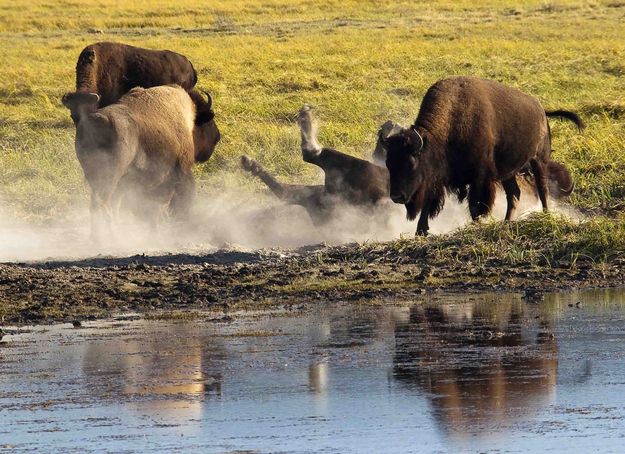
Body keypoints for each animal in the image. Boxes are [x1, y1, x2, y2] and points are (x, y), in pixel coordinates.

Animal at [61, 85, 221, 241]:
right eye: (208, 122)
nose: (217, 138)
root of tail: (95, 121)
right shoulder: (181, 169)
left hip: (98, 177)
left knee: (100, 203)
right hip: (110, 178)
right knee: (103, 203)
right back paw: (111, 236)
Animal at [382, 76, 584, 236]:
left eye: (411, 163)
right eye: (389, 164)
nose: (397, 196)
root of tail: (541, 110)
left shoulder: (480, 178)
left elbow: (475, 205)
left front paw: (475, 224)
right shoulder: (436, 180)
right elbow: (428, 204)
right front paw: (420, 231)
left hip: (538, 161)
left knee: (542, 189)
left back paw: (545, 215)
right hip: (508, 172)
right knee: (514, 194)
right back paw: (507, 221)